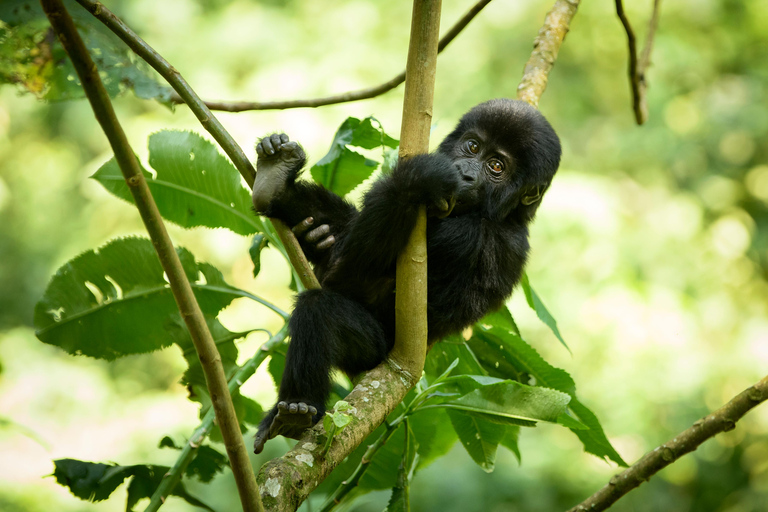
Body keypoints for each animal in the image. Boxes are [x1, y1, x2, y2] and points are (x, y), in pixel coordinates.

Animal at [250, 99, 560, 452]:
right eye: (473, 146)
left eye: (497, 166)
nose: (464, 174)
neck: (507, 215)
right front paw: (314, 233)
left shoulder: (461, 235)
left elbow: (354, 269)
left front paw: (419, 179)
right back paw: (276, 183)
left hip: (371, 354)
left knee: (320, 309)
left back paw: (299, 408)